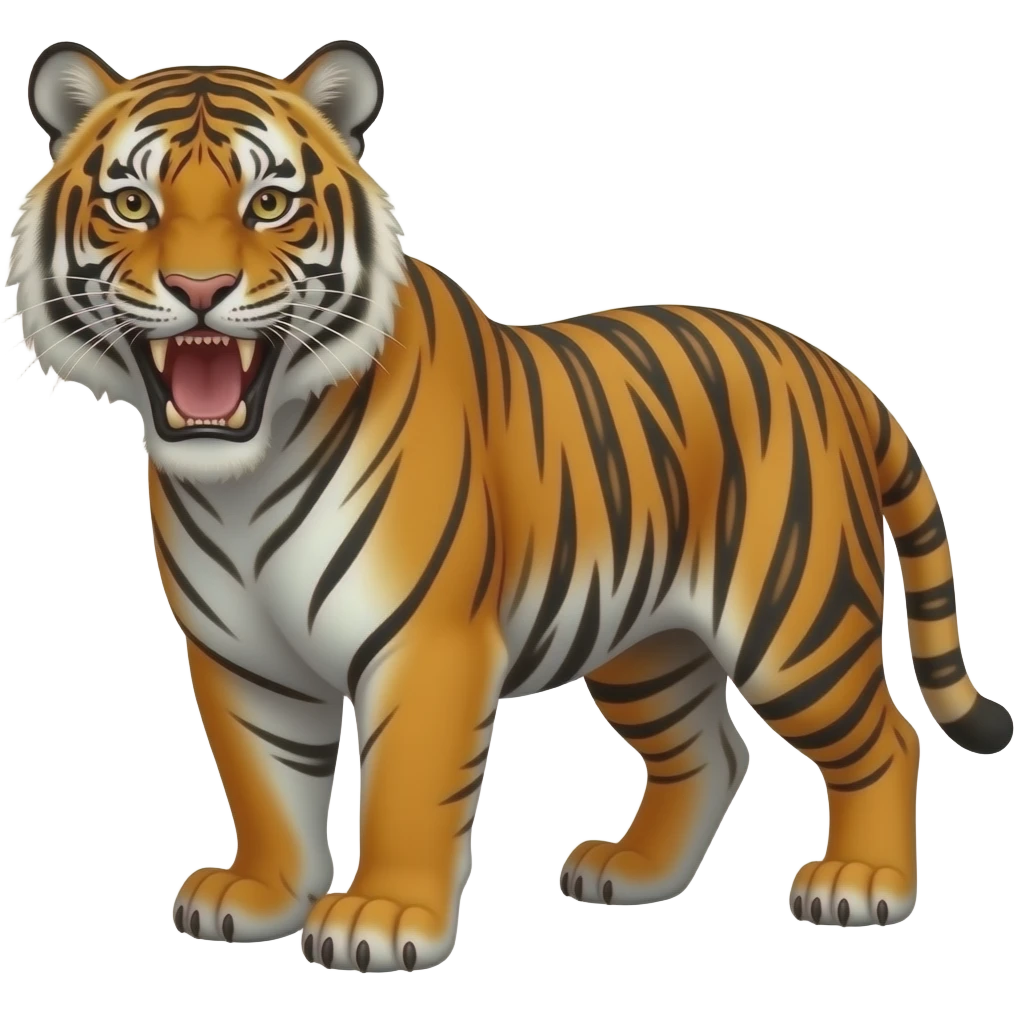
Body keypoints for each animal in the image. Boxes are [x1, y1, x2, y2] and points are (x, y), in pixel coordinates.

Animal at [8, 37, 1010, 972]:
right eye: (132, 204)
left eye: (270, 205)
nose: (201, 291)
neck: (242, 481)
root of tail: (835, 371)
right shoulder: (241, 655)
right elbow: (266, 783)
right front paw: (258, 895)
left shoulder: (425, 643)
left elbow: (408, 789)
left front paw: (381, 919)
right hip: (647, 645)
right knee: (711, 752)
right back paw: (633, 872)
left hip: (795, 624)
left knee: (887, 740)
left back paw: (863, 884)